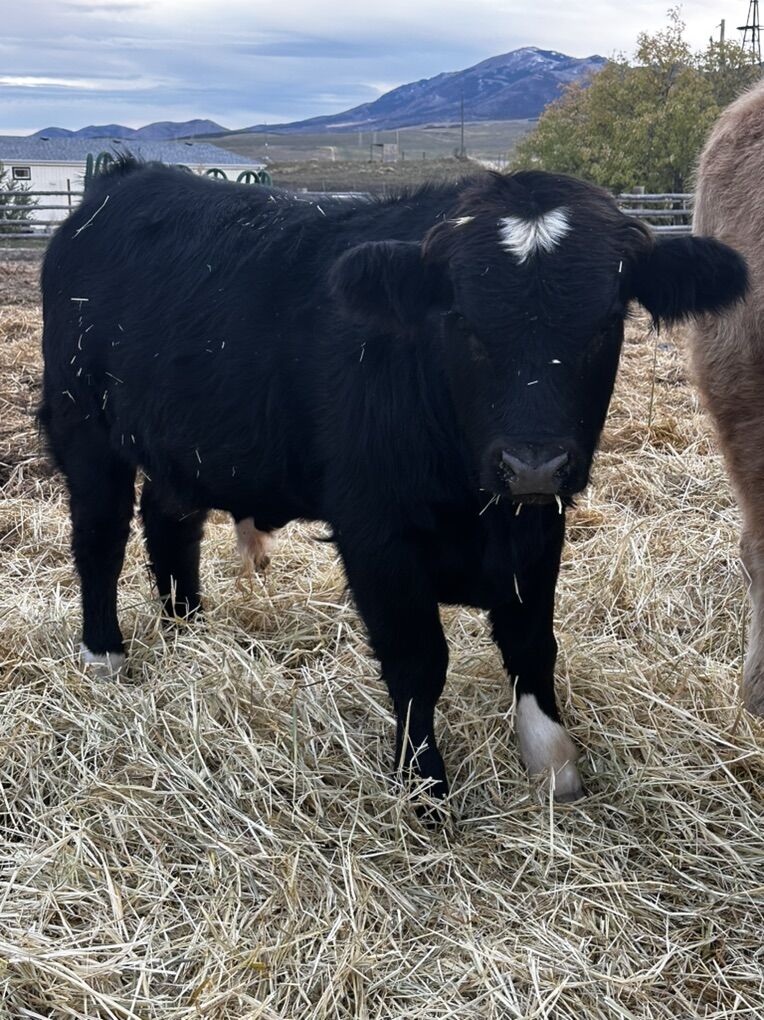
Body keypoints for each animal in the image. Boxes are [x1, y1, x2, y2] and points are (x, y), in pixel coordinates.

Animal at [40, 160, 747, 803]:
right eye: (462, 320)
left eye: (605, 322)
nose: (532, 463)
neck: (475, 504)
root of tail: (124, 180)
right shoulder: (375, 533)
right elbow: (418, 661)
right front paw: (423, 786)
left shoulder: (537, 524)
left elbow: (532, 645)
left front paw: (553, 766)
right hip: (84, 424)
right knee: (100, 538)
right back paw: (106, 655)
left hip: (183, 445)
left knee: (169, 525)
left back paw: (189, 628)